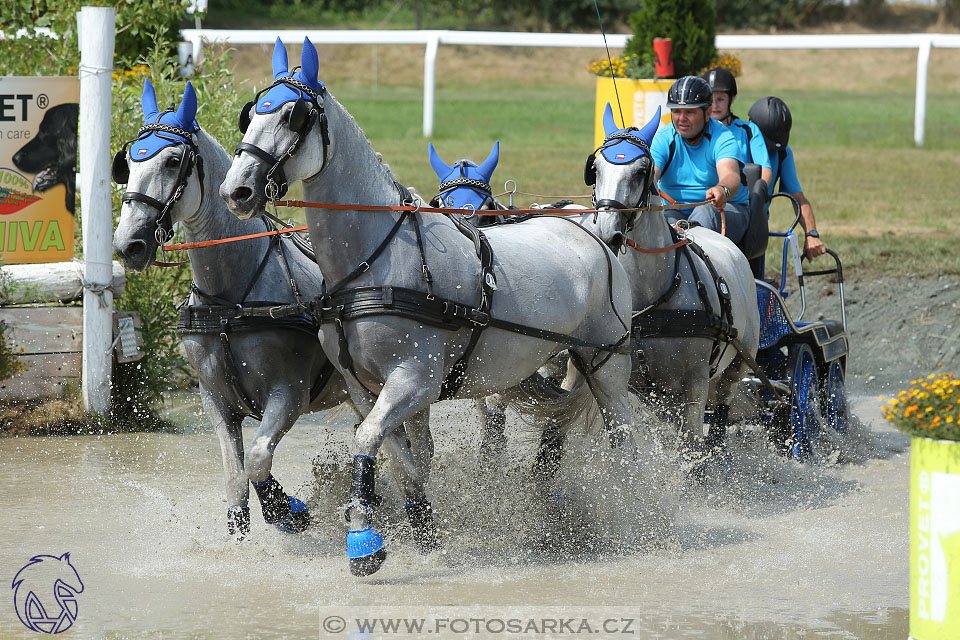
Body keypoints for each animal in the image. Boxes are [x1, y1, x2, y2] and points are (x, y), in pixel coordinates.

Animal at [108, 79, 432, 540]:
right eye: (127, 163)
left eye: (172, 161)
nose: (128, 245)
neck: (231, 301)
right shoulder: (215, 400)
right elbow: (234, 476)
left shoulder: (289, 394)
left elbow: (258, 458)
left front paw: (286, 509)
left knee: (417, 449)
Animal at [218, 40, 636, 580]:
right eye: (251, 114)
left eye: (295, 116)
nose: (237, 191)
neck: (376, 261)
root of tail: (594, 234)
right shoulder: (364, 388)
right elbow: (401, 459)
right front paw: (423, 529)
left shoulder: (414, 380)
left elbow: (368, 441)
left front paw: (364, 540)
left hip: (608, 366)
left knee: (626, 441)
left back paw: (636, 514)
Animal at [580, 105, 760, 462]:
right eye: (596, 169)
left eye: (641, 171)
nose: (607, 232)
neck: (651, 297)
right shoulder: (636, 384)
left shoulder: (694, 384)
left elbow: (691, 448)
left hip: (736, 364)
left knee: (721, 410)